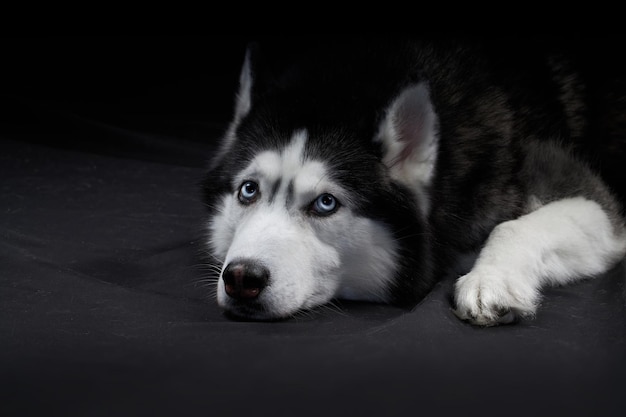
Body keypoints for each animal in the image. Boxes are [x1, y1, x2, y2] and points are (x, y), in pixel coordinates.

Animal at [202, 37, 624, 324]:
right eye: (248, 190)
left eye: (326, 203)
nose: (242, 277)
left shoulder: (591, 200)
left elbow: (512, 225)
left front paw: (491, 279)